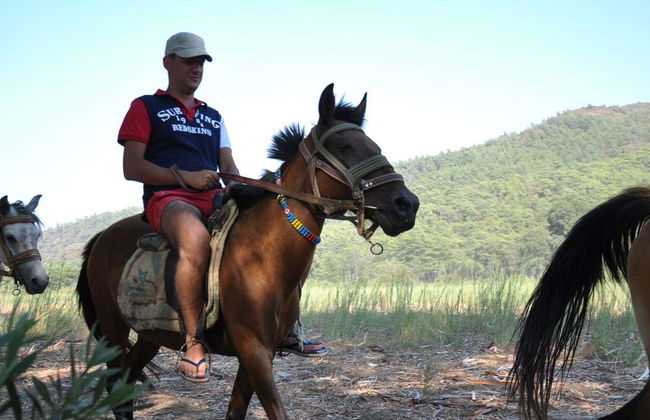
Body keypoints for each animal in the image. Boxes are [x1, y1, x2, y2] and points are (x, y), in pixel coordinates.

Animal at [76, 84, 419, 419]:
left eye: (374, 145)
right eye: (346, 147)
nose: (407, 205)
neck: (262, 257)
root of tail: (103, 236)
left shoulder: (257, 355)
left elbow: (236, 411)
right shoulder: (253, 350)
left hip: (150, 334)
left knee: (128, 381)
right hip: (112, 329)